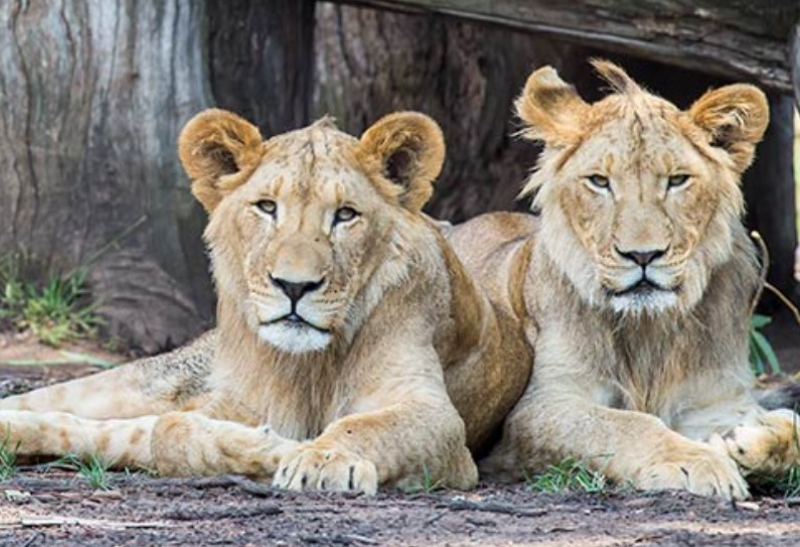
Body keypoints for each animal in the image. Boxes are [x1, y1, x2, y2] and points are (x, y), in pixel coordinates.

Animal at [0, 109, 532, 494]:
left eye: (345, 215)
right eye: (267, 207)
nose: (294, 286)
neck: (306, 367)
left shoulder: (438, 421)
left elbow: (365, 427)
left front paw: (320, 458)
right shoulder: (231, 402)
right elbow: (173, 430)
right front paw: (272, 449)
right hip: (162, 376)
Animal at [450, 61, 800, 500]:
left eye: (677, 180)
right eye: (599, 181)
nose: (642, 255)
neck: (648, 328)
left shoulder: (712, 400)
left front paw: (747, 442)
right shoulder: (538, 407)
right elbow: (627, 424)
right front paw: (695, 462)